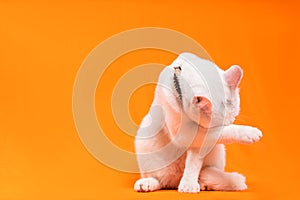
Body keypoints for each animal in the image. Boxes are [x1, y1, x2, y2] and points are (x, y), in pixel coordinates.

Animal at [134, 52, 262, 193]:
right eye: (220, 125)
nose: (227, 124)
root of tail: (174, 181)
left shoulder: (199, 144)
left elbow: (193, 163)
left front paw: (188, 184)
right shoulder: (185, 134)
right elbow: (227, 132)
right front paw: (249, 133)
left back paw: (204, 184)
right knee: (157, 179)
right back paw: (147, 183)